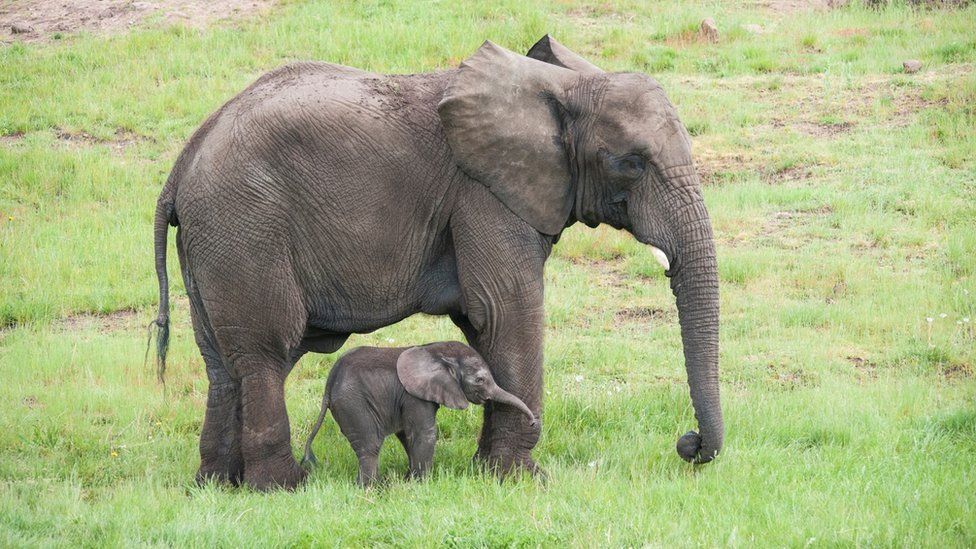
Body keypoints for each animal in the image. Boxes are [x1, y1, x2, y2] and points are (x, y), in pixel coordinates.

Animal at [304, 340, 536, 486]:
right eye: (480, 380)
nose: (533, 422)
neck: (435, 350)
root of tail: (329, 382)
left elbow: (407, 435)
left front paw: (410, 479)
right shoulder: (414, 396)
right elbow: (424, 434)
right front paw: (422, 484)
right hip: (353, 403)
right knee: (370, 446)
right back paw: (370, 489)